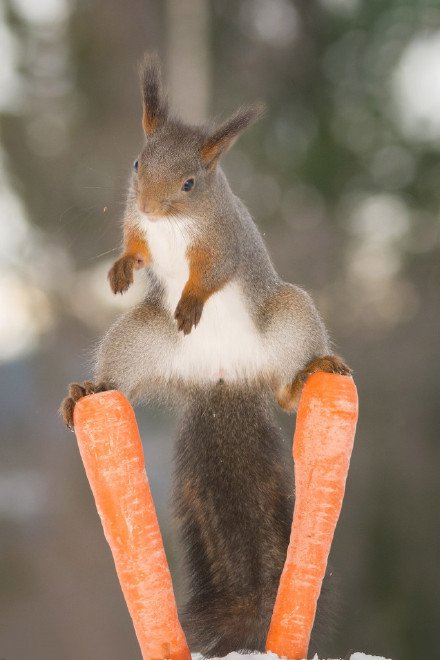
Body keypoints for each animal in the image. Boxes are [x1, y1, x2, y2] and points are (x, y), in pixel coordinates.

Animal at [61, 55, 350, 656]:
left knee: (288, 396)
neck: (171, 225)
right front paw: (122, 270)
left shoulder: (222, 243)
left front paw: (192, 301)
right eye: (137, 161)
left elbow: (211, 275)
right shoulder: (135, 224)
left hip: (288, 317)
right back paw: (90, 390)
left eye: (190, 181)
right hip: (139, 339)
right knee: (120, 379)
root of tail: (222, 376)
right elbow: (133, 244)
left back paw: (313, 371)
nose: (150, 203)